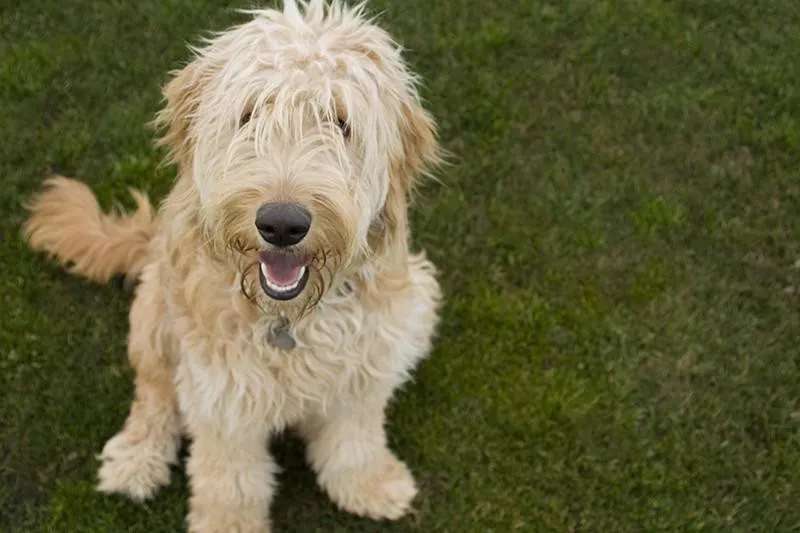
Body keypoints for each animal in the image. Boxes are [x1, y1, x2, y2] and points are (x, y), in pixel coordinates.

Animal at [21, 2, 444, 528]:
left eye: (340, 122)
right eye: (248, 116)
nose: (282, 224)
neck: (288, 317)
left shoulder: (365, 366)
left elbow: (354, 438)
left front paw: (368, 484)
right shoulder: (221, 395)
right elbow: (231, 478)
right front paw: (229, 523)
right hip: (155, 318)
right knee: (153, 395)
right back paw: (137, 458)